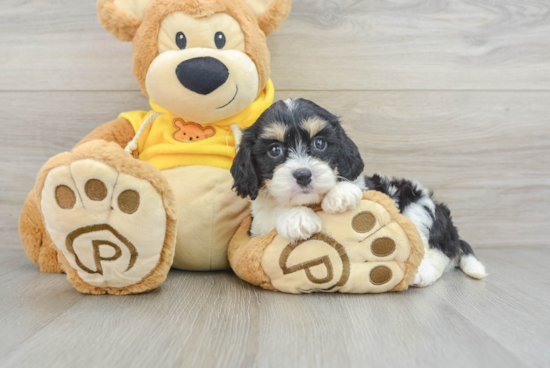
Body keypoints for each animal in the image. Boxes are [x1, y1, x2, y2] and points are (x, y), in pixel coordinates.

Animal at [231, 98, 490, 288]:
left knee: (440, 250)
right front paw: (297, 218)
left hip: (418, 205)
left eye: (319, 144)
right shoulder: (258, 224)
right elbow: (273, 210)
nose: (303, 175)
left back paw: (421, 271)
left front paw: (341, 193)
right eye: (275, 150)